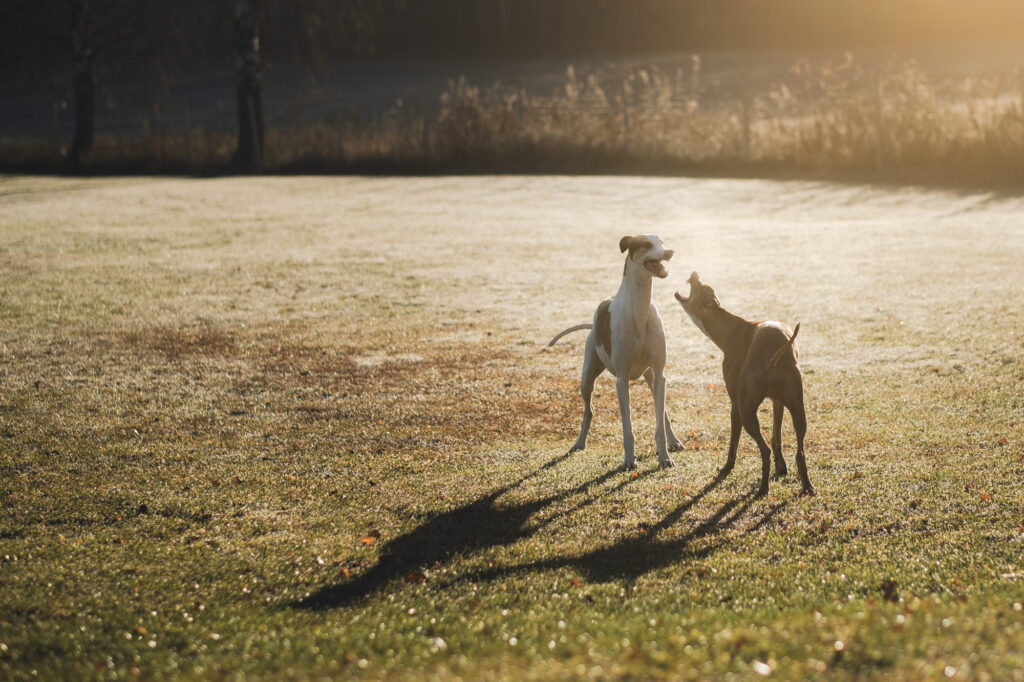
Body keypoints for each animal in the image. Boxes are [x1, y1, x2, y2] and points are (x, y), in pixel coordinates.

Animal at [548, 233, 684, 466]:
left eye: (662, 242)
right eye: (646, 244)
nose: (670, 252)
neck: (639, 309)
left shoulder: (659, 373)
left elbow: (659, 421)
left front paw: (664, 457)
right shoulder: (622, 380)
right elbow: (627, 426)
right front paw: (629, 460)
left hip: (651, 378)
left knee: (663, 411)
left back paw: (673, 441)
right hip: (587, 378)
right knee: (589, 410)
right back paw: (579, 442)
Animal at [675, 270, 811, 493]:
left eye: (700, 286)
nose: (694, 273)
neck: (732, 328)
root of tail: (773, 354)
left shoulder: (735, 404)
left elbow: (733, 442)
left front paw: (726, 467)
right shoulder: (778, 402)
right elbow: (776, 437)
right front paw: (781, 467)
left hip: (747, 411)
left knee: (764, 450)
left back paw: (762, 489)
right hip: (798, 410)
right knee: (800, 452)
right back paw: (807, 486)